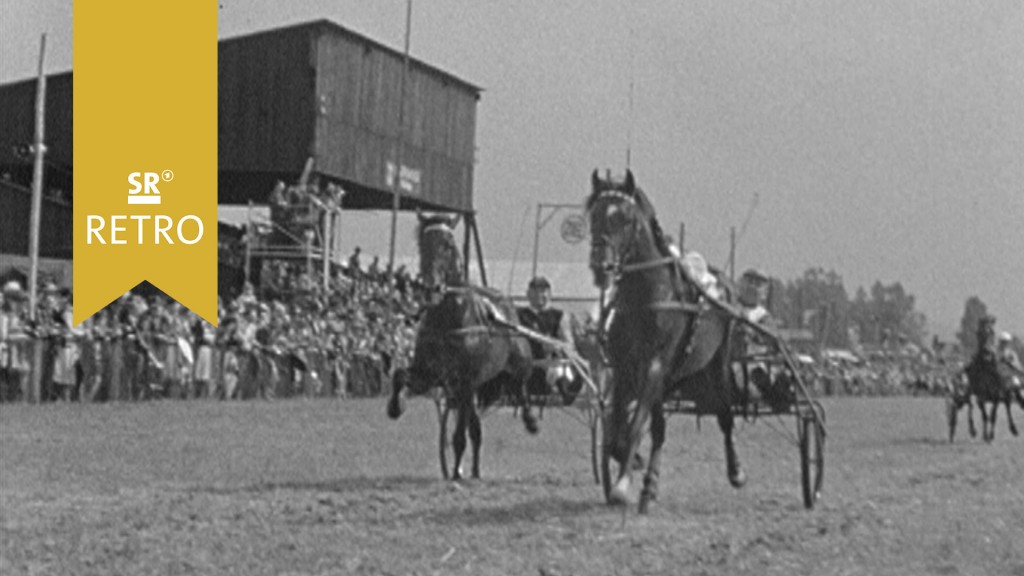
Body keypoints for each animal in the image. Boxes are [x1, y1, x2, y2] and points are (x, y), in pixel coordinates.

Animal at [387, 213, 540, 477]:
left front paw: (456, 471)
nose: (431, 287)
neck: (448, 318)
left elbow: (459, 435)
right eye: (422, 244)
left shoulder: (466, 380)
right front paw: (395, 406)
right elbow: (400, 375)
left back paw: (529, 419)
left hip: (517, 362)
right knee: (475, 427)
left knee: (521, 385)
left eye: (448, 245)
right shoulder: (431, 375)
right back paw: (475, 470)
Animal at [593, 169, 745, 510]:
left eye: (625, 219)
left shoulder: (655, 366)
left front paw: (621, 485)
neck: (645, 297)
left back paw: (736, 470)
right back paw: (649, 485)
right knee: (660, 430)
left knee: (725, 415)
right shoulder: (625, 370)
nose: (601, 266)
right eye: (594, 215)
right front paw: (631, 463)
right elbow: (620, 430)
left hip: (717, 364)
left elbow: (635, 426)